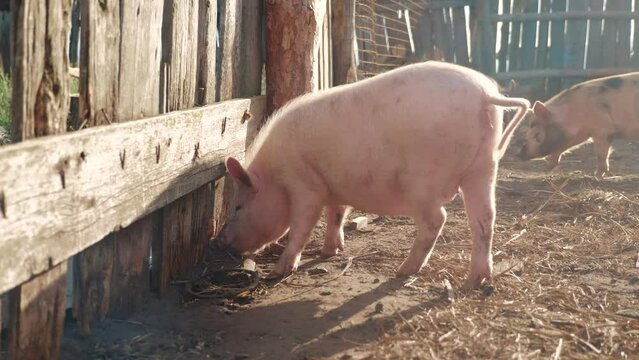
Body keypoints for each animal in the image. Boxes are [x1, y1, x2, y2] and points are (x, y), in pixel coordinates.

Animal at [215, 60, 528, 288]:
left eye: (238, 207)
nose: (221, 241)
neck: (274, 177)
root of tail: (485, 95)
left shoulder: (305, 184)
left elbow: (302, 226)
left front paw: (278, 272)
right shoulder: (333, 188)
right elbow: (337, 214)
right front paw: (330, 252)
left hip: (424, 180)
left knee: (437, 220)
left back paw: (403, 271)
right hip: (484, 167)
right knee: (485, 220)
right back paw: (477, 280)